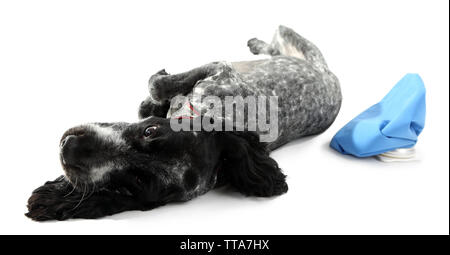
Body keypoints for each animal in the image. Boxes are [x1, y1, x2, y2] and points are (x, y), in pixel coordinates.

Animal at [25, 26, 342, 221]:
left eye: (136, 182)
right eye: (150, 131)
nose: (69, 147)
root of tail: (331, 78)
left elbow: (155, 84)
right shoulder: (218, 70)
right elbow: (157, 88)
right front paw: (156, 98)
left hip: (294, 42)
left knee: (277, 44)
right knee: (275, 47)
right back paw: (256, 44)